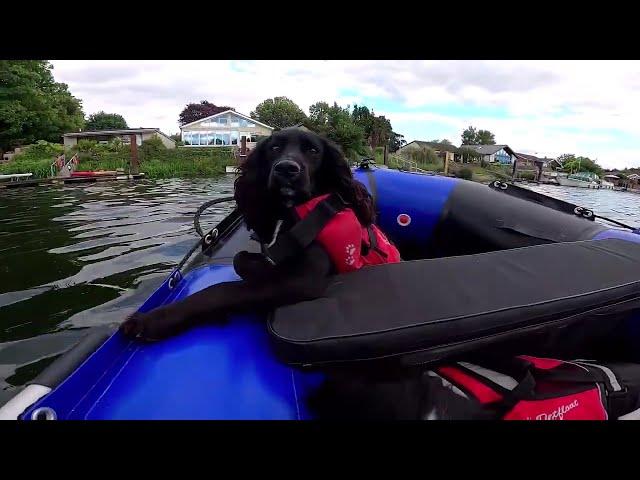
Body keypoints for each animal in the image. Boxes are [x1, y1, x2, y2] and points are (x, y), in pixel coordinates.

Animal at [121, 128, 376, 342]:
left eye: (313, 150)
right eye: (274, 148)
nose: (286, 168)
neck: (289, 214)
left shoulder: (305, 280)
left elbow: (222, 290)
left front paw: (152, 320)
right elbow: (240, 258)